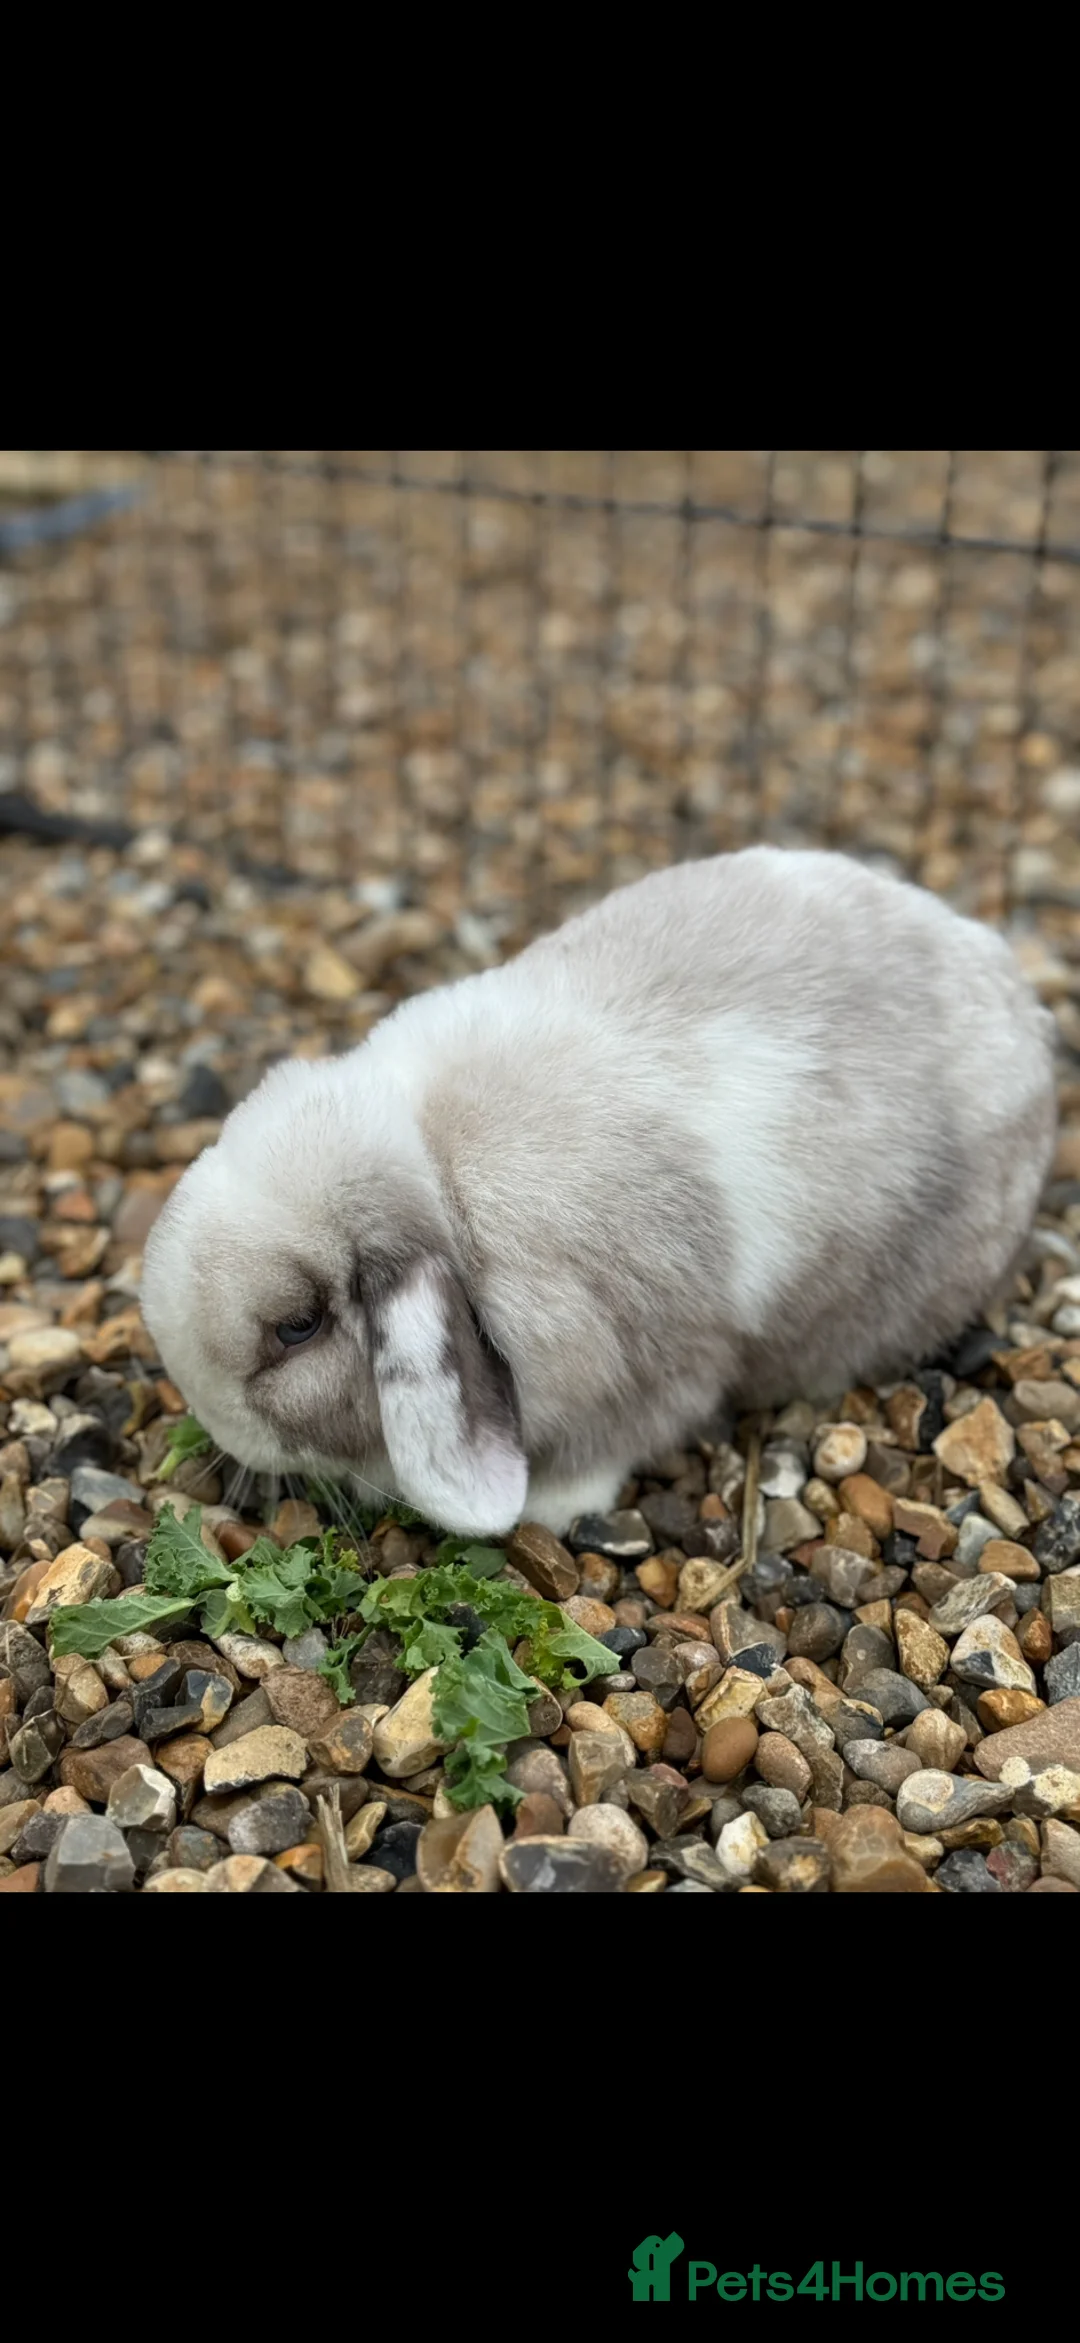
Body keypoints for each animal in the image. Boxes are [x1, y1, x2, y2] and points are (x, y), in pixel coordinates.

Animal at [139, 846, 1058, 1539]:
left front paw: (547, 1509)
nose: (215, 1425)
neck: (437, 1176)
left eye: (296, 1328)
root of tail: (1020, 1004)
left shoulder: (652, 1365)